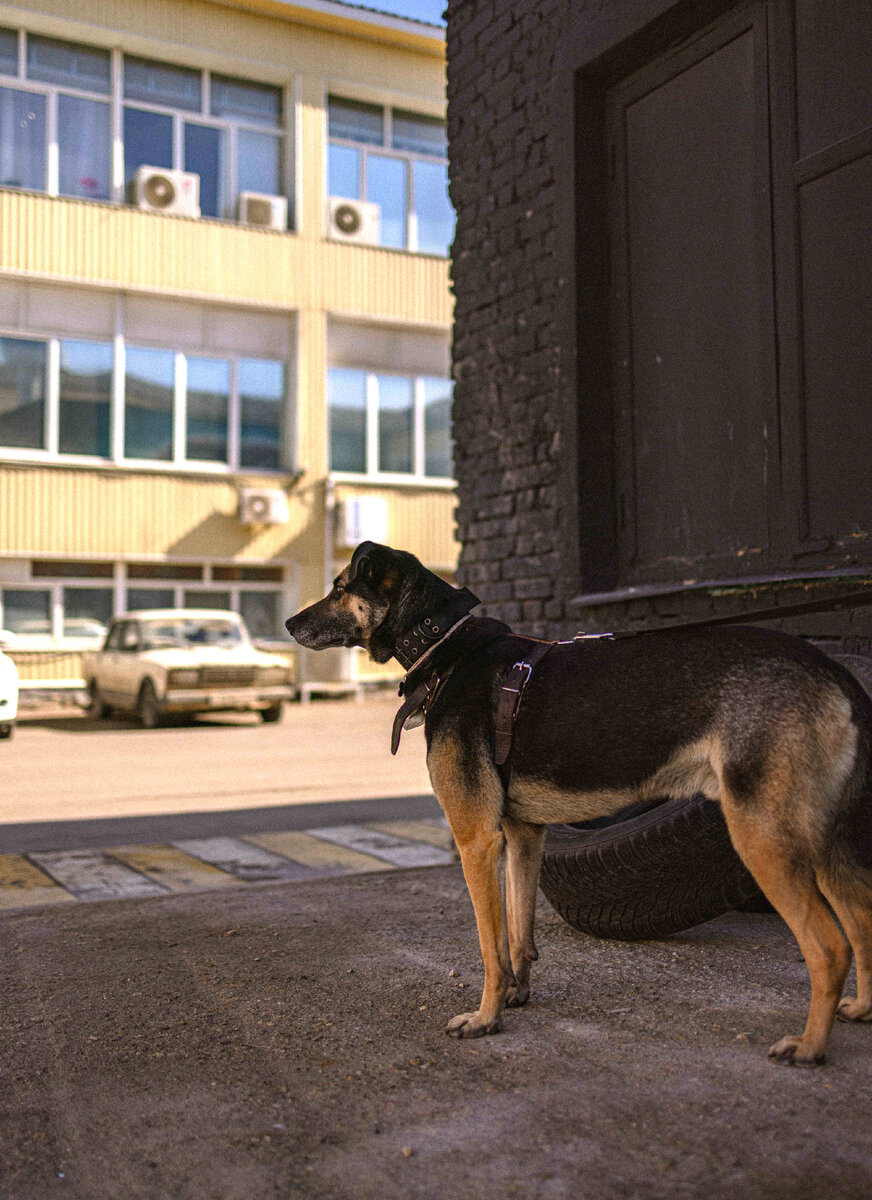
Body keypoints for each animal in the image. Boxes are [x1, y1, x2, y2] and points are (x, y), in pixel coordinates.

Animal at [286, 540, 872, 1065]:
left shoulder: (477, 839)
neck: (445, 643)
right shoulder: (523, 836)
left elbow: (490, 945)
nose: (290, 625)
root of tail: (834, 671)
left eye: (339, 588)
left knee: (829, 947)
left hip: (764, 837)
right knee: (862, 917)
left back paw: (810, 1047)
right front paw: (517, 997)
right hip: (821, 841)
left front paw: (486, 1018)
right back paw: (860, 1010)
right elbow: (518, 933)